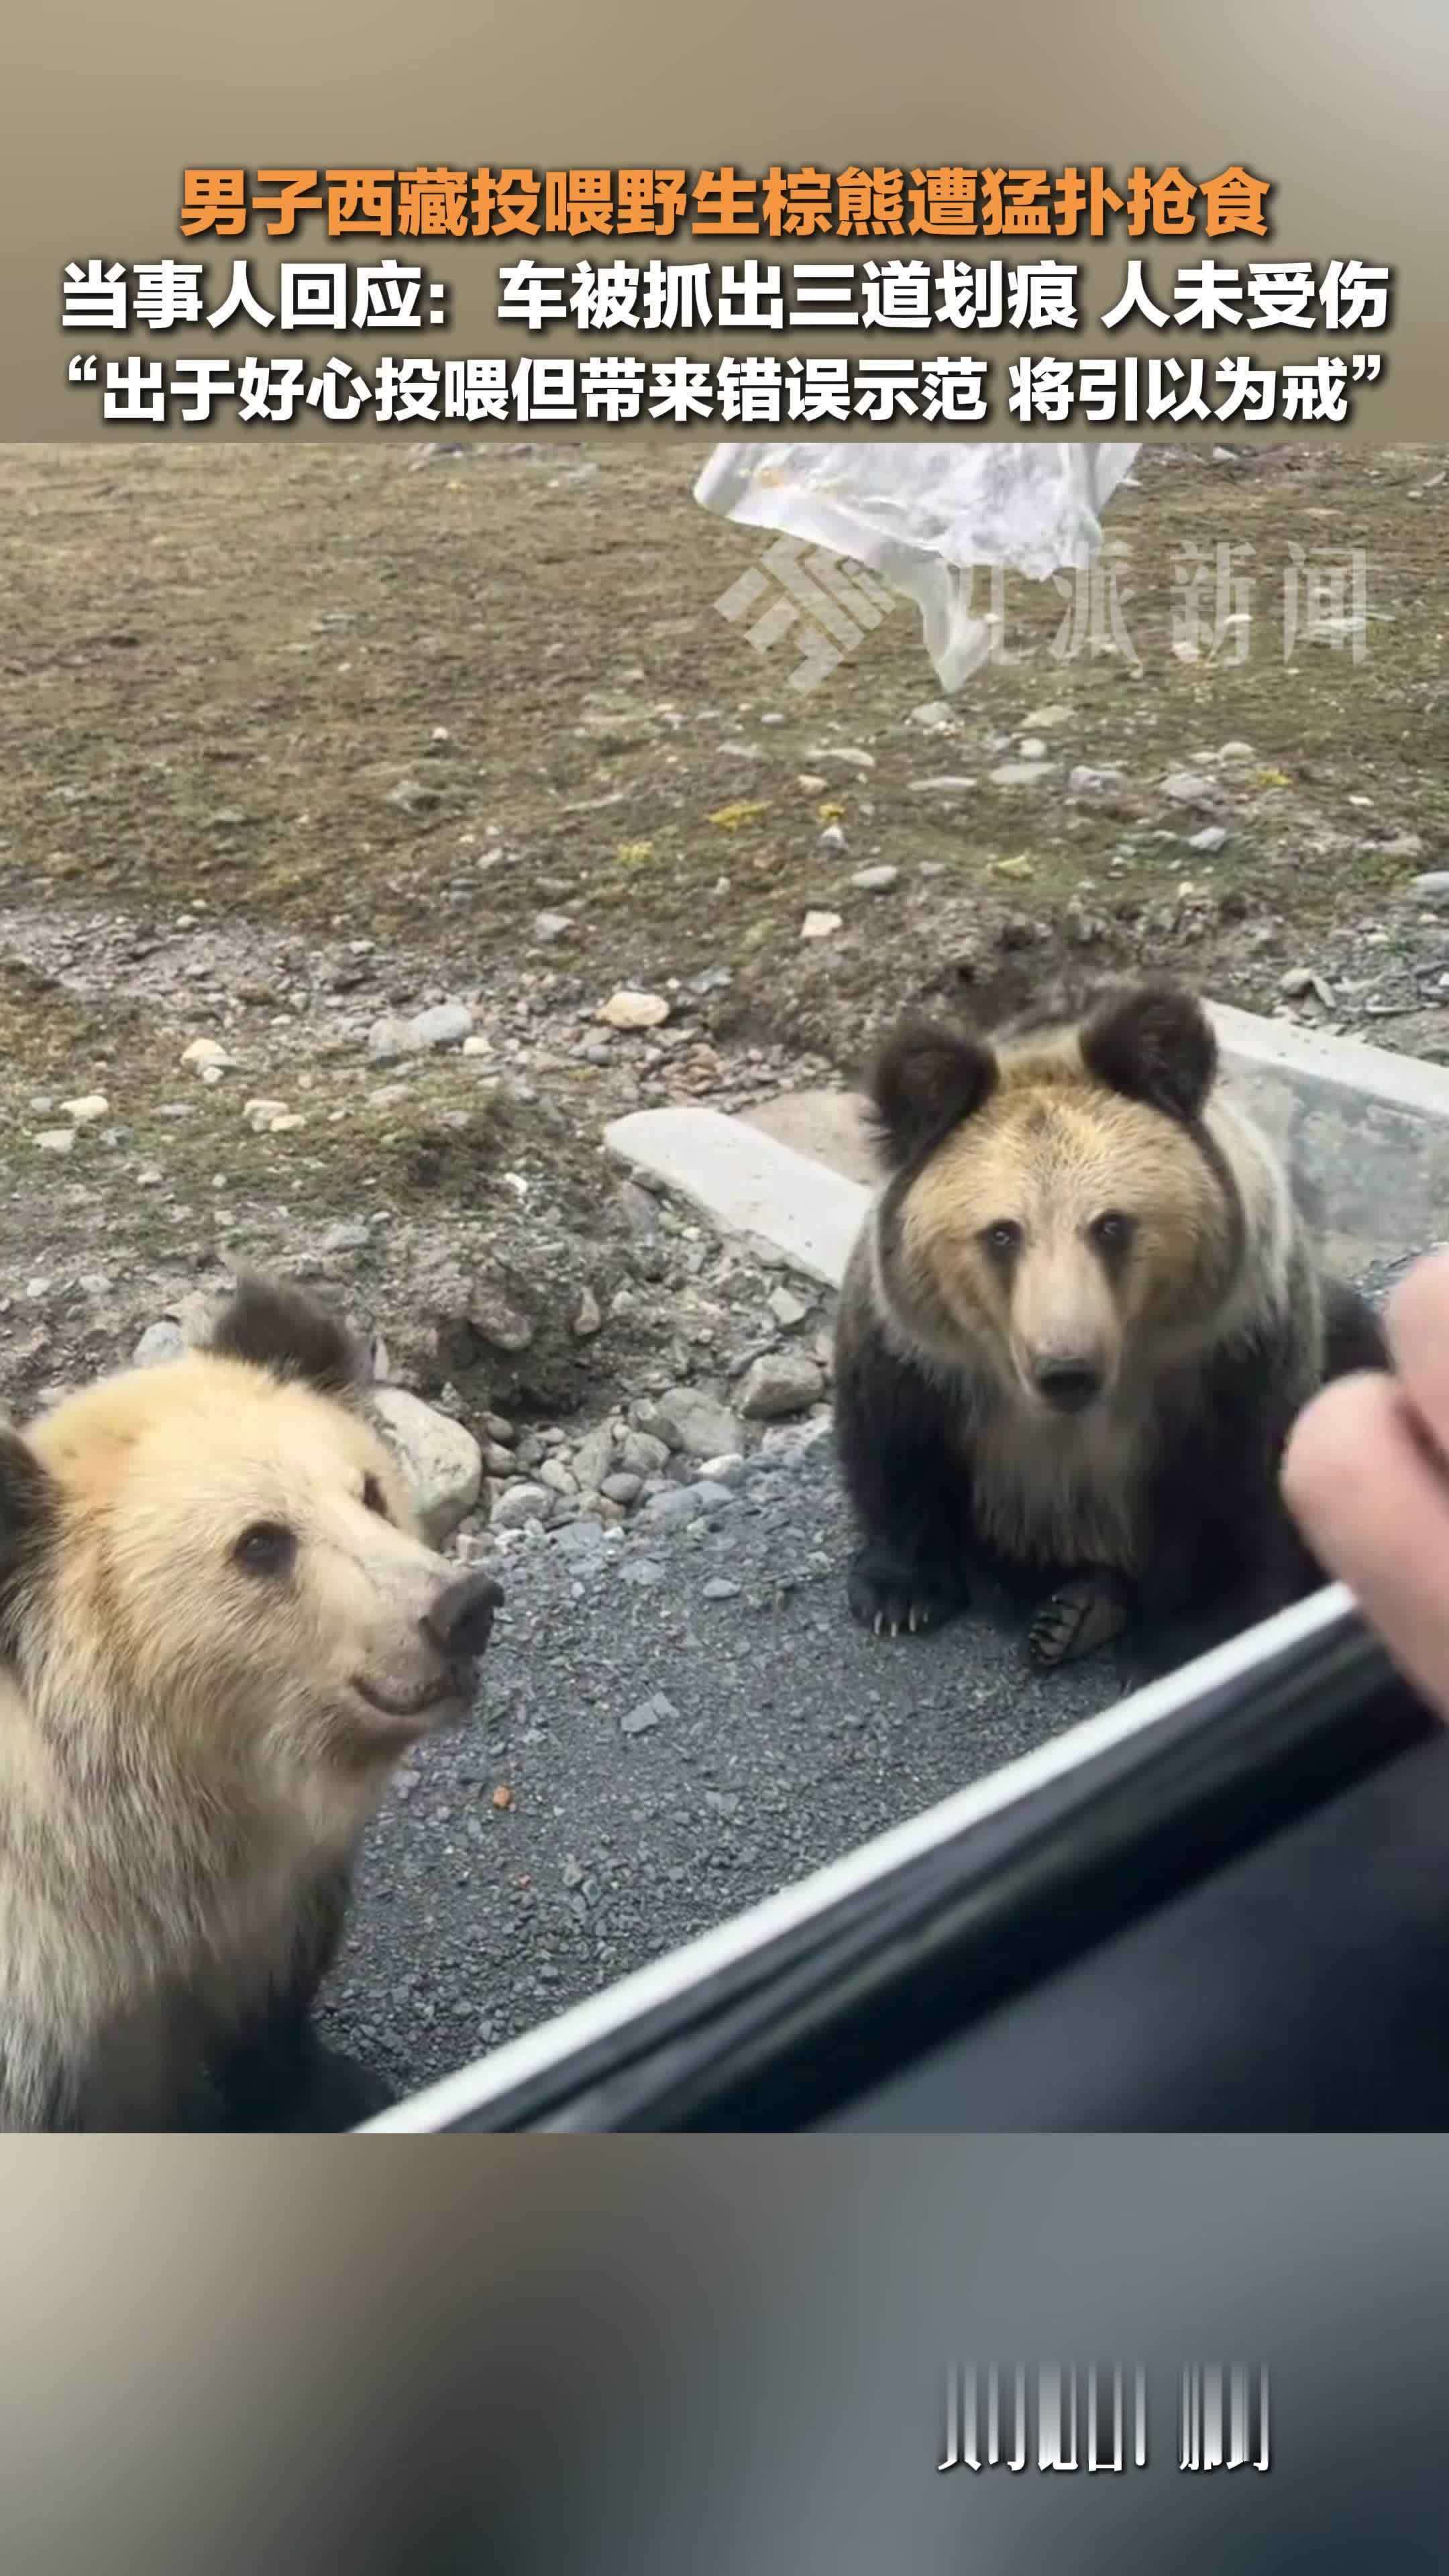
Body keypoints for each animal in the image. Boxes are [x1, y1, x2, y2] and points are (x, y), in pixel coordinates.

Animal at [830, 979, 1382, 1669]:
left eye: (1111, 1225)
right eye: (1002, 1234)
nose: (1066, 1369)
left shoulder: (1230, 1349)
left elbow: (1240, 1484)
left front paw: (1195, 1632)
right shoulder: (920, 1357)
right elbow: (896, 1444)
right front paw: (899, 1594)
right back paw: (1076, 1607)